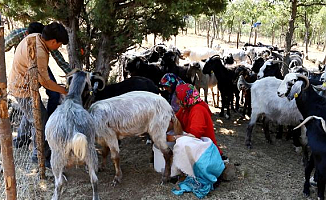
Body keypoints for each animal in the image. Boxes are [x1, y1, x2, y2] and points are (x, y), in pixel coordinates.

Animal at [45, 70, 99, 200]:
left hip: (57, 155)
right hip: (90, 151)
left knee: (59, 182)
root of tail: (73, 130)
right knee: (94, 178)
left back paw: (55, 196)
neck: (72, 98)